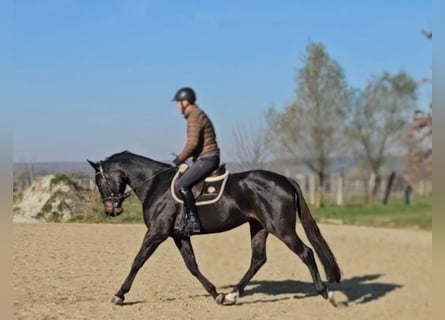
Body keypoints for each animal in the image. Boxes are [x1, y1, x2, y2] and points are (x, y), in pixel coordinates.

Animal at [88, 151, 342, 306]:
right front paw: (216, 294)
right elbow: (192, 265)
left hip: (281, 228)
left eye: (100, 182)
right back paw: (232, 294)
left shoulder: (157, 233)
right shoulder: (178, 235)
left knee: (306, 253)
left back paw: (323, 292)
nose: (111, 210)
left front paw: (119, 295)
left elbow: (138, 261)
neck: (154, 185)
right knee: (258, 259)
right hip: (259, 227)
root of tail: (286, 180)